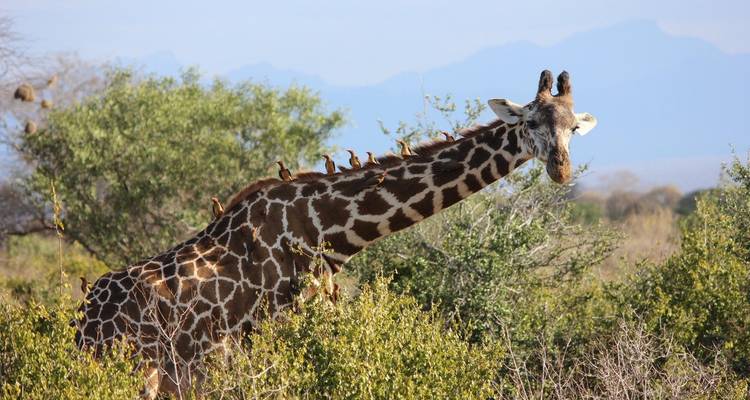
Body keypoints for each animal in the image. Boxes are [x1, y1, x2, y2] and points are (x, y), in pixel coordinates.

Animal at [74, 70, 597, 398]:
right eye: (529, 121)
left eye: (574, 127)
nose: (561, 169)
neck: (331, 231)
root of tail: (84, 320)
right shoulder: (275, 340)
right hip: (138, 372)